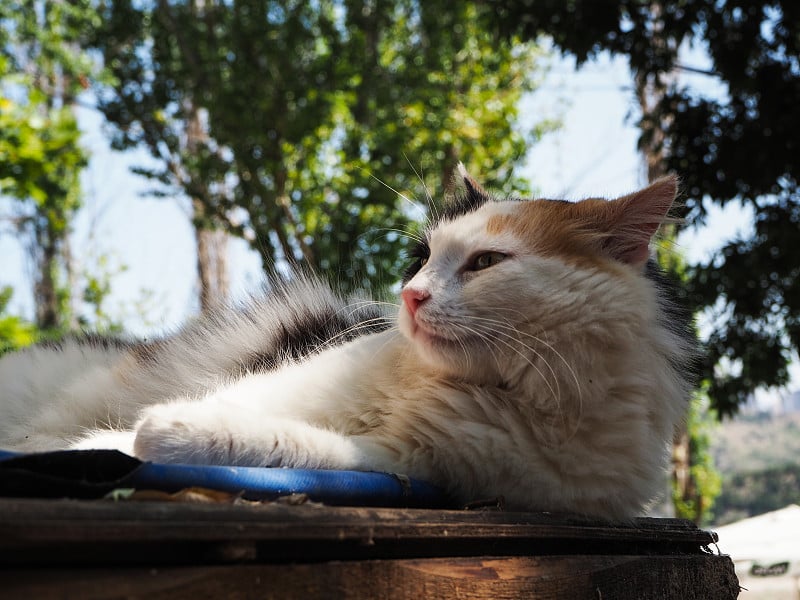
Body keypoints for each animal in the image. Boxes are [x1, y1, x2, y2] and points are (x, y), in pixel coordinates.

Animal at [0, 169, 692, 520]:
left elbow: (273, 446)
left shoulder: (409, 463)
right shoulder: (291, 382)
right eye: (424, 256)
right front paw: (92, 446)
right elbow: (220, 414)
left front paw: (158, 433)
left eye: (486, 262)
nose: (410, 296)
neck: (498, 385)